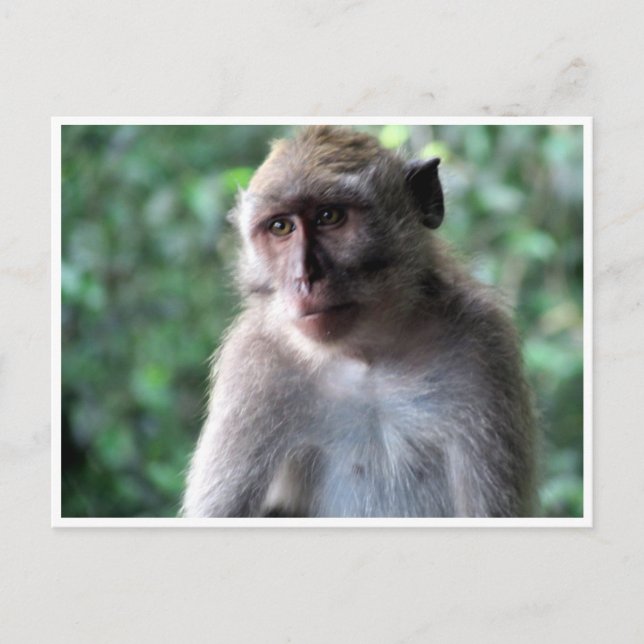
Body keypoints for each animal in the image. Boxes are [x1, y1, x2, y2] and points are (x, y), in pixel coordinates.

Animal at [182, 125, 536, 518]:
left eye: (328, 216)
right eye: (281, 227)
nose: (304, 278)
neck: (367, 357)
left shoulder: (485, 344)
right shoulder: (252, 365)